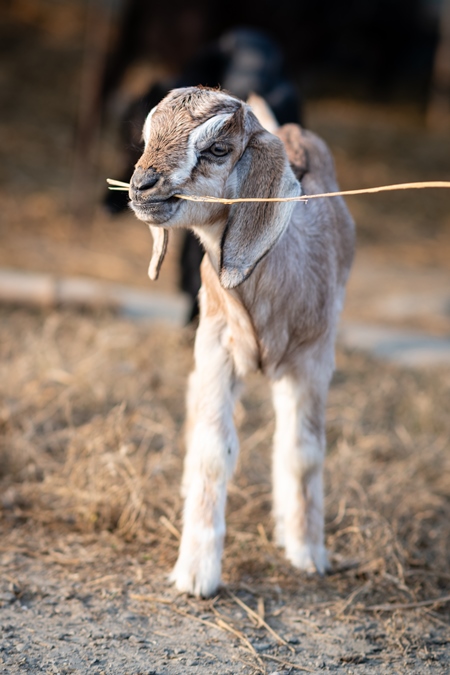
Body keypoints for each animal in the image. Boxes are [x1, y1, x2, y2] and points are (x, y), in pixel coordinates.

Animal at [128, 86, 355, 597]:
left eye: (217, 148)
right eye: (146, 138)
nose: (141, 185)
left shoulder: (314, 359)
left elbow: (304, 452)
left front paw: (308, 554)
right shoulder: (217, 345)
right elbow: (214, 449)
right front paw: (196, 573)